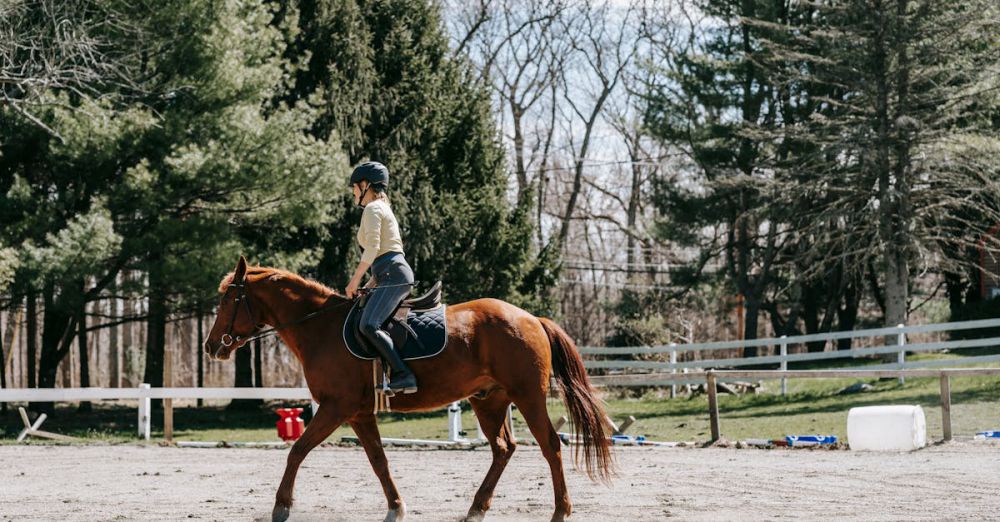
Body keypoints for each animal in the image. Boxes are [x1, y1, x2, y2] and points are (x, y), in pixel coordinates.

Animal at [201, 256, 608, 520]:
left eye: (227, 299)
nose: (210, 345)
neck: (320, 327)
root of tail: (530, 318)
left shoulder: (336, 407)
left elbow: (297, 450)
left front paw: (282, 506)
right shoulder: (359, 413)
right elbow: (378, 461)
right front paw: (396, 508)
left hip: (527, 395)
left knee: (550, 446)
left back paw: (560, 511)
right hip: (489, 401)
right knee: (503, 449)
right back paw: (476, 508)